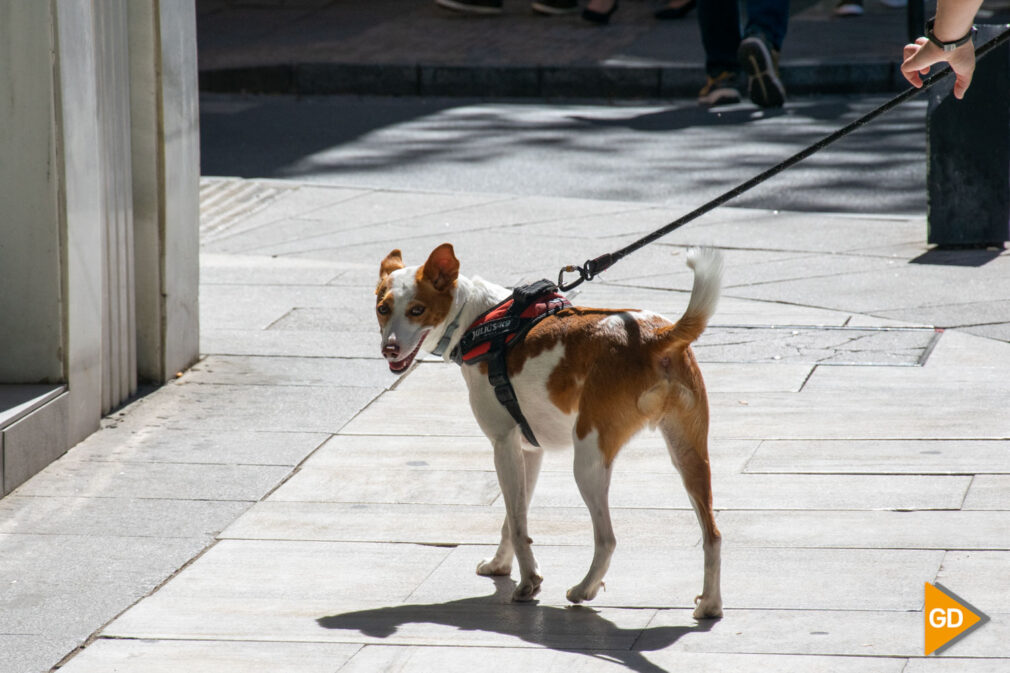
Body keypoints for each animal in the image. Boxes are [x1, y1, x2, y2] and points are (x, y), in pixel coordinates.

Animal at [375, 243, 723, 614]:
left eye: (417, 310)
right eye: (382, 309)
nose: (389, 349)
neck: (476, 318)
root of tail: (656, 335)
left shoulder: (502, 444)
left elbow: (517, 524)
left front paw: (529, 582)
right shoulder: (528, 452)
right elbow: (512, 518)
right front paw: (500, 565)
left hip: (588, 460)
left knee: (607, 538)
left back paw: (584, 589)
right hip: (689, 453)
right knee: (712, 535)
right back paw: (710, 605)